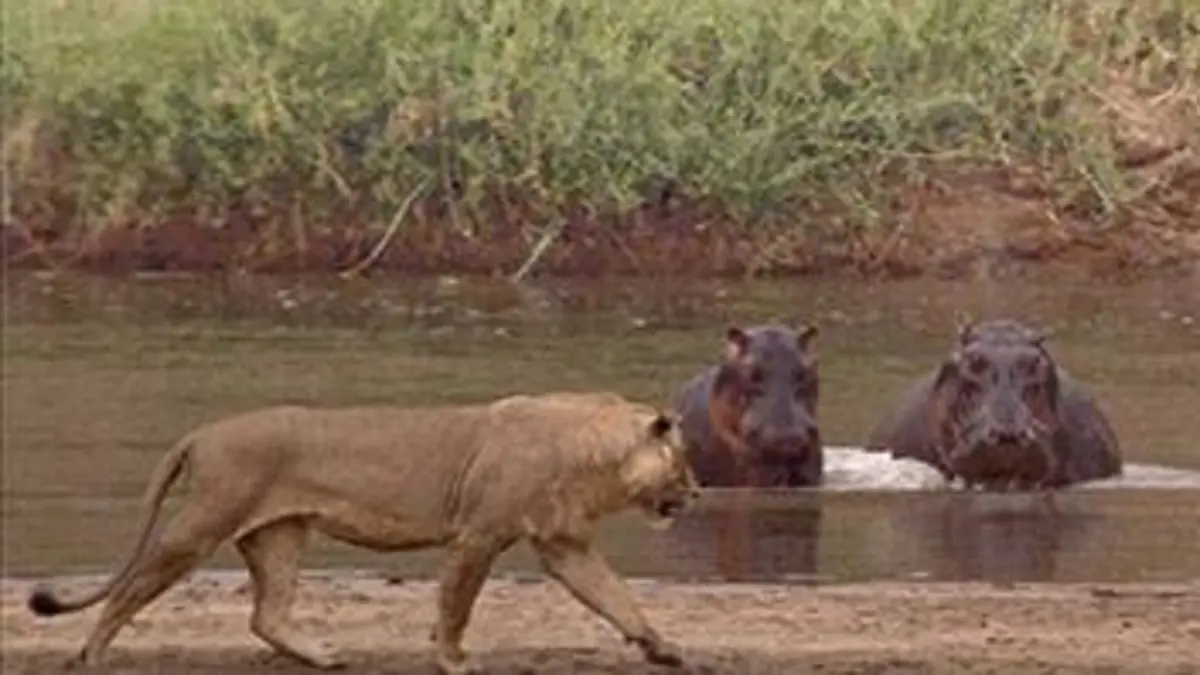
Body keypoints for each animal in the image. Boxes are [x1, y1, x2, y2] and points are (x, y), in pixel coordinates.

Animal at [26, 391, 700, 674]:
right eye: (685, 458)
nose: (696, 492)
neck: (594, 454)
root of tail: (201, 432)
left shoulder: (564, 545)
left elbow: (616, 599)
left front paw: (666, 651)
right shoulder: (478, 536)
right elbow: (457, 605)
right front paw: (451, 660)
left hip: (280, 535)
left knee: (266, 615)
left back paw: (325, 657)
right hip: (202, 524)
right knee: (128, 589)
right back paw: (92, 655)